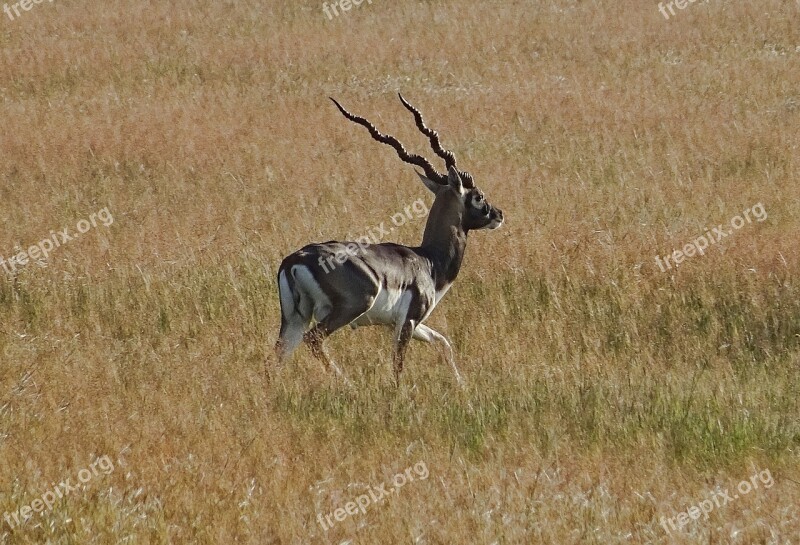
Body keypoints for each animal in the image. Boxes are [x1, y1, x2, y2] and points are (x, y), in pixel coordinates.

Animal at [274, 94, 500, 382]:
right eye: (478, 195)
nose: (498, 214)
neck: (429, 262)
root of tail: (295, 260)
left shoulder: (407, 324)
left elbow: (443, 343)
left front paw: (460, 383)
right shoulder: (408, 321)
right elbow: (398, 365)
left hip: (294, 319)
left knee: (278, 354)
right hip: (347, 309)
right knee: (313, 339)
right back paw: (347, 383)